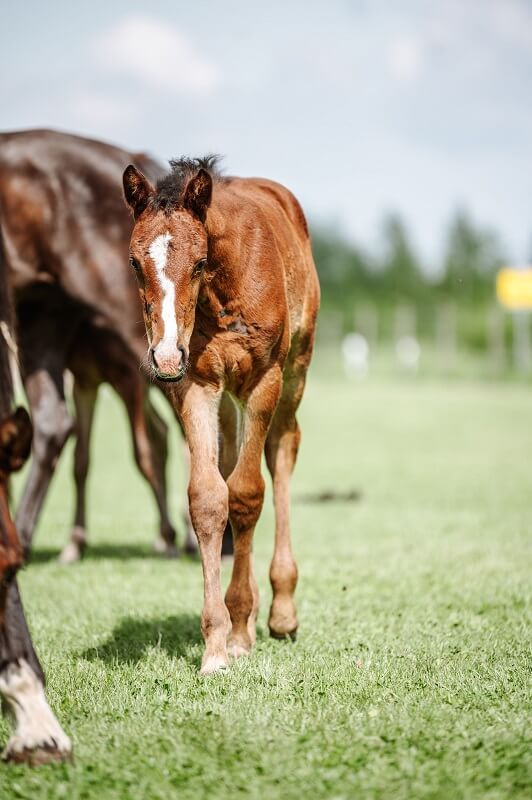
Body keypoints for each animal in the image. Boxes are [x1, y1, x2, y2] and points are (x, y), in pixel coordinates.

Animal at [122, 158, 318, 676]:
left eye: (199, 262)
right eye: (134, 263)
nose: (165, 356)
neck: (221, 292)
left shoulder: (263, 380)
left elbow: (247, 495)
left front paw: (242, 632)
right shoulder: (197, 384)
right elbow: (210, 498)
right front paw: (215, 642)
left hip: (294, 373)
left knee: (282, 450)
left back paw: (280, 612)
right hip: (227, 399)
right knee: (229, 461)